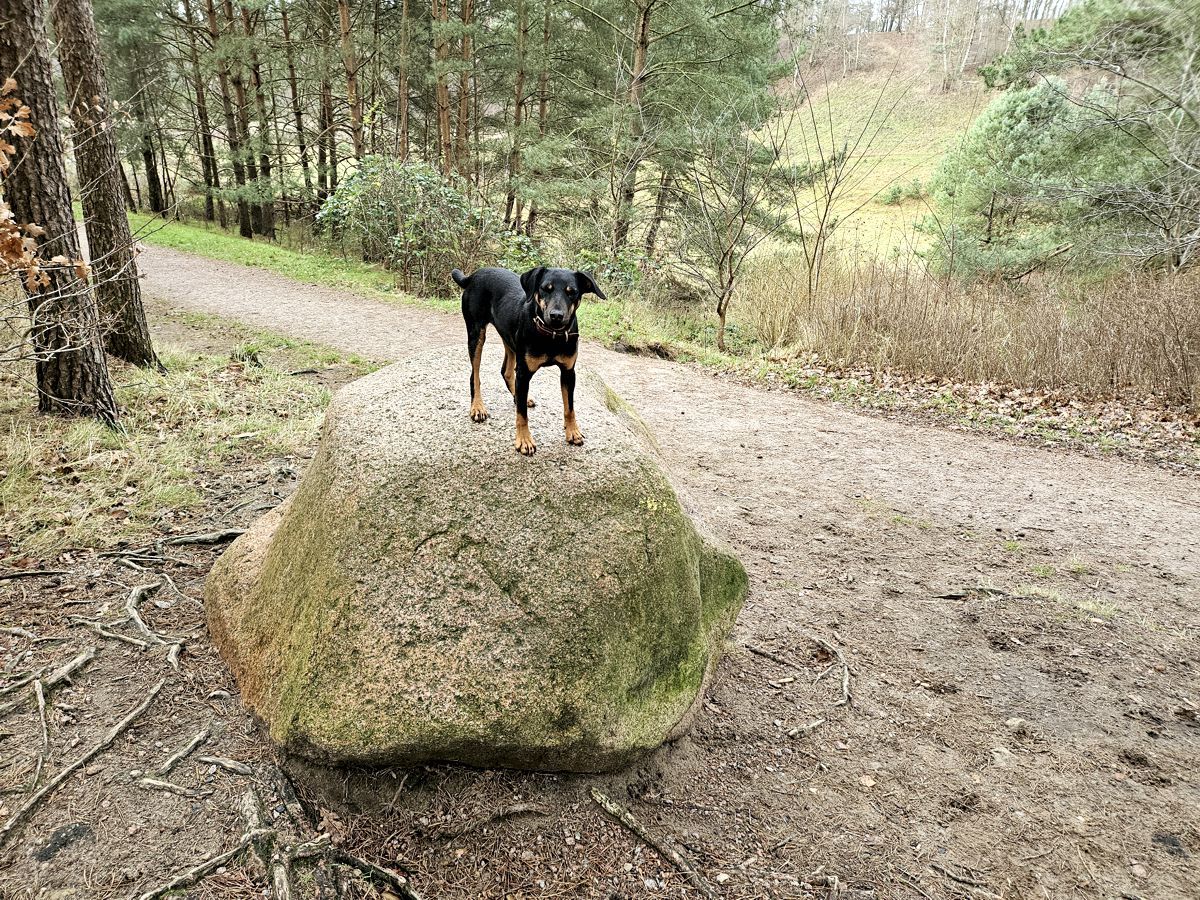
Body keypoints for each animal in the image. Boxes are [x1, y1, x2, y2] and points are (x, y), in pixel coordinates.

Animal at [451, 264, 604, 453]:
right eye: (546, 288)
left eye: (572, 292)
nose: (556, 315)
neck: (552, 336)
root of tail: (472, 276)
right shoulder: (524, 373)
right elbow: (522, 414)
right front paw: (524, 440)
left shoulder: (569, 372)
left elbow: (570, 407)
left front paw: (573, 432)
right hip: (476, 334)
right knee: (475, 375)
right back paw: (478, 407)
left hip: (509, 338)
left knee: (506, 371)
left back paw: (517, 396)